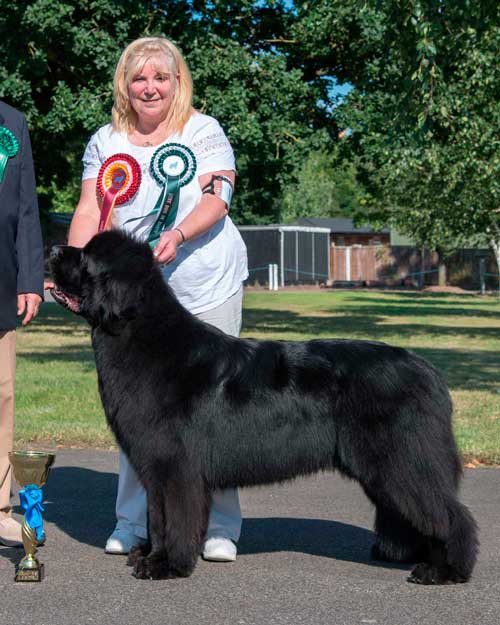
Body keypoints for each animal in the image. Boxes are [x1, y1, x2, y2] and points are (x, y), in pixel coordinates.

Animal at [49, 230, 476, 584]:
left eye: (86, 257)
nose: (52, 249)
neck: (140, 334)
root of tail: (429, 371)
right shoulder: (154, 467)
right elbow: (157, 515)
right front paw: (150, 555)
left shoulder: (176, 467)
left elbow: (176, 517)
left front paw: (167, 565)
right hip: (386, 467)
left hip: (401, 460)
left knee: (452, 515)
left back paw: (445, 570)